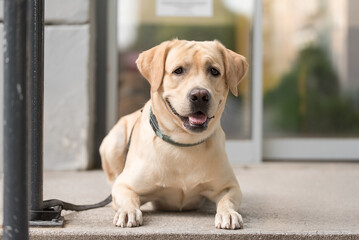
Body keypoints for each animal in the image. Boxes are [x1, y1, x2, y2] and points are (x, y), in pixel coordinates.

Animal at [100, 39, 249, 231]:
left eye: (214, 71)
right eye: (178, 70)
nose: (200, 95)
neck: (184, 143)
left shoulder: (230, 186)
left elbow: (227, 199)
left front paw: (228, 213)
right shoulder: (125, 185)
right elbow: (128, 197)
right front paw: (127, 211)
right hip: (114, 141)